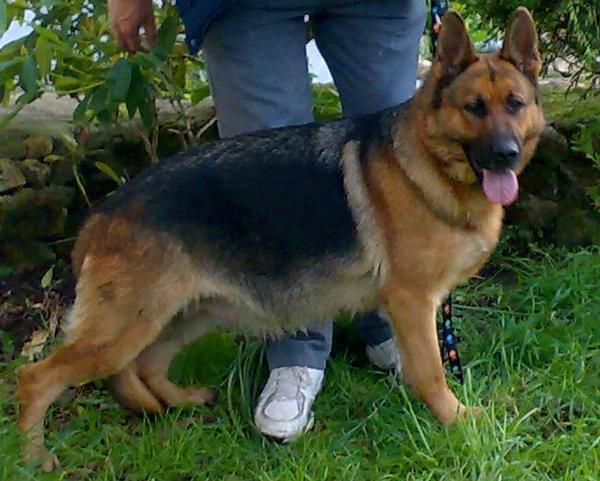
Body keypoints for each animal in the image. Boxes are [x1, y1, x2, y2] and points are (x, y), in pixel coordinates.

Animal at [17, 7, 544, 470]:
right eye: (473, 108)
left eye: (514, 105)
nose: (505, 154)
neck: (429, 162)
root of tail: (104, 212)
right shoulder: (412, 300)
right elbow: (432, 371)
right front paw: (456, 420)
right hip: (125, 328)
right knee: (37, 378)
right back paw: (34, 457)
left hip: (188, 313)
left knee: (145, 366)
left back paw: (182, 402)